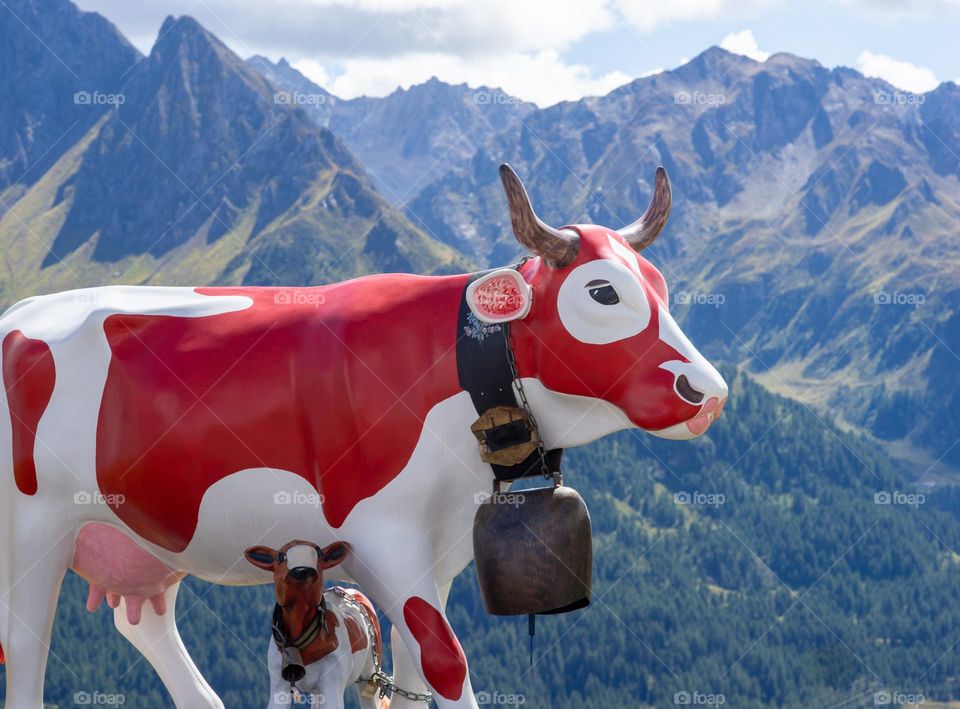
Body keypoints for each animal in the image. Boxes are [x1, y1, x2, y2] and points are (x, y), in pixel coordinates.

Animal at [0, 164, 727, 708]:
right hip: (32, 533)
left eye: (660, 286)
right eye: (603, 292)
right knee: (27, 646)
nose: (708, 391)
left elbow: (409, 669)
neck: (458, 361)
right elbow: (445, 659)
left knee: (143, 620)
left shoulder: (438, 548)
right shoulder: (385, 533)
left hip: (137, 534)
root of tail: (19, 311)